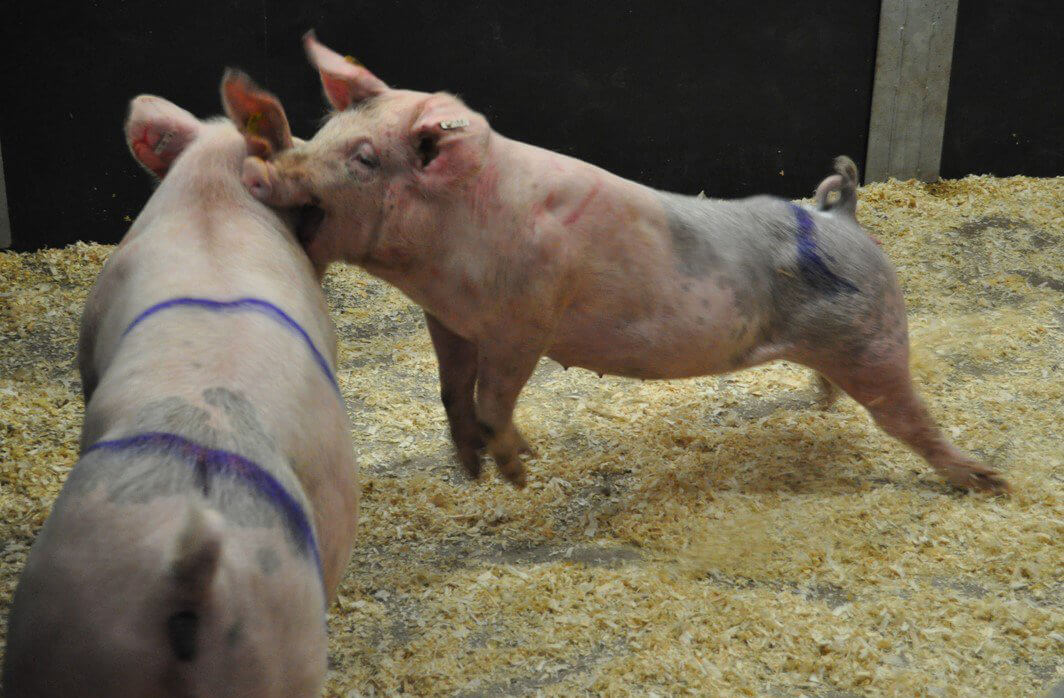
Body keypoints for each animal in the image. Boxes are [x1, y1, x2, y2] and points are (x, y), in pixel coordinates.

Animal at [241, 31, 1008, 494]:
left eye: (364, 158)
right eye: (323, 131)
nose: (262, 166)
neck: (447, 254)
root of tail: (840, 217)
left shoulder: (526, 318)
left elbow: (495, 396)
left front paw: (518, 472)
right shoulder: (449, 319)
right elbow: (453, 390)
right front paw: (471, 466)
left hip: (876, 338)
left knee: (909, 417)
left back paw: (989, 482)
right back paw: (825, 406)